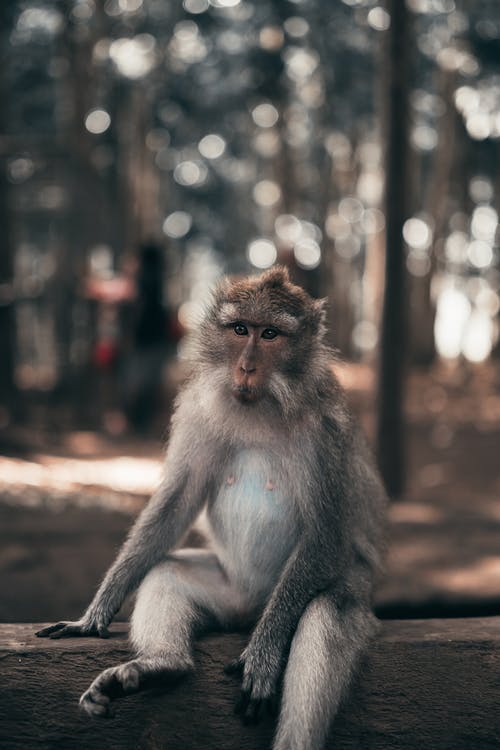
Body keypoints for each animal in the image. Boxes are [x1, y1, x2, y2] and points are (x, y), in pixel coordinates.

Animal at [37, 268, 386, 748]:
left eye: (270, 334)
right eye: (240, 329)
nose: (246, 366)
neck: (262, 406)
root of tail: (250, 612)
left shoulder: (327, 430)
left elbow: (326, 534)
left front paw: (264, 653)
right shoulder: (197, 411)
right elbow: (177, 503)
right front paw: (95, 613)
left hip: (314, 593)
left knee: (325, 611)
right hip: (231, 595)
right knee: (167, 571)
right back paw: (163, 665)